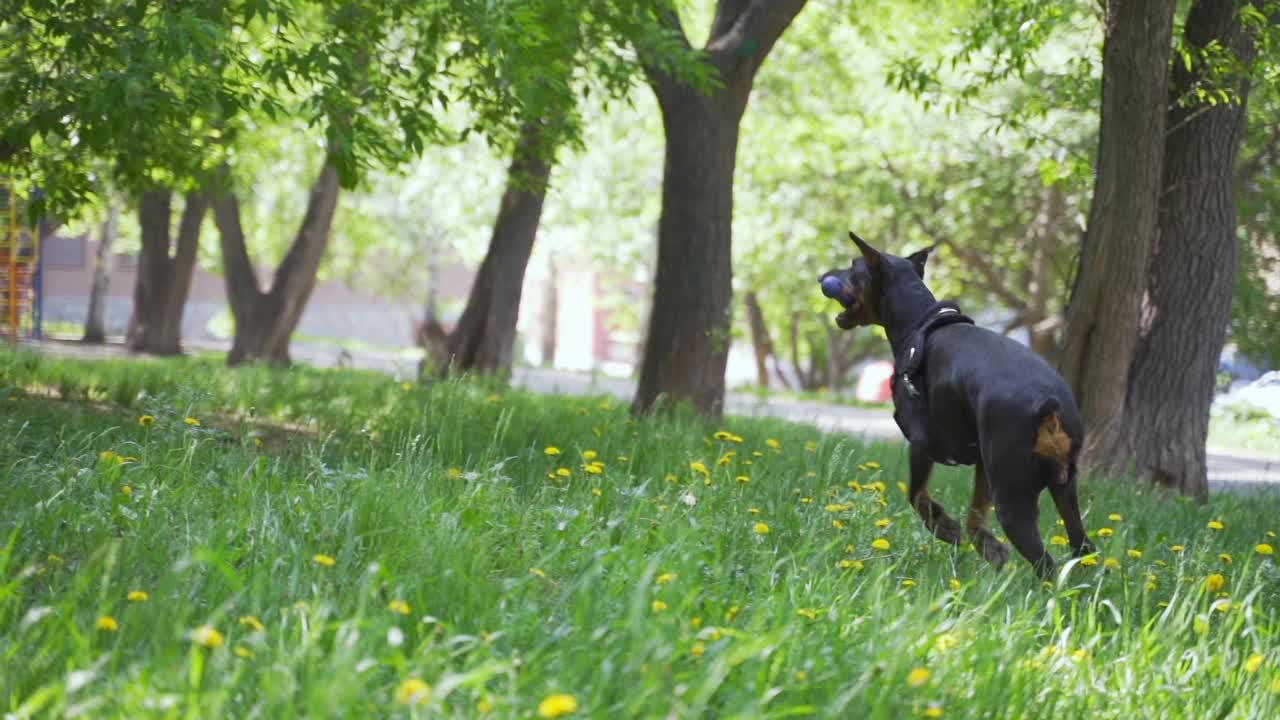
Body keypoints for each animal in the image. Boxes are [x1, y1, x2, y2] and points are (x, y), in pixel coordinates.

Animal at [824, 230, 1095, 576]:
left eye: (852, 266)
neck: (918, 322)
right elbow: (975, 513)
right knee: (1083, 545)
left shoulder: (922, 443)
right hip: (1063, 487)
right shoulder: (982, 461)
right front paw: (988, 546)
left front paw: (945, 527)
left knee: (1045, 562)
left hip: (1013, 495)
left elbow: (917, 495)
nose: (824, 276)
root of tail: (1049, 406)